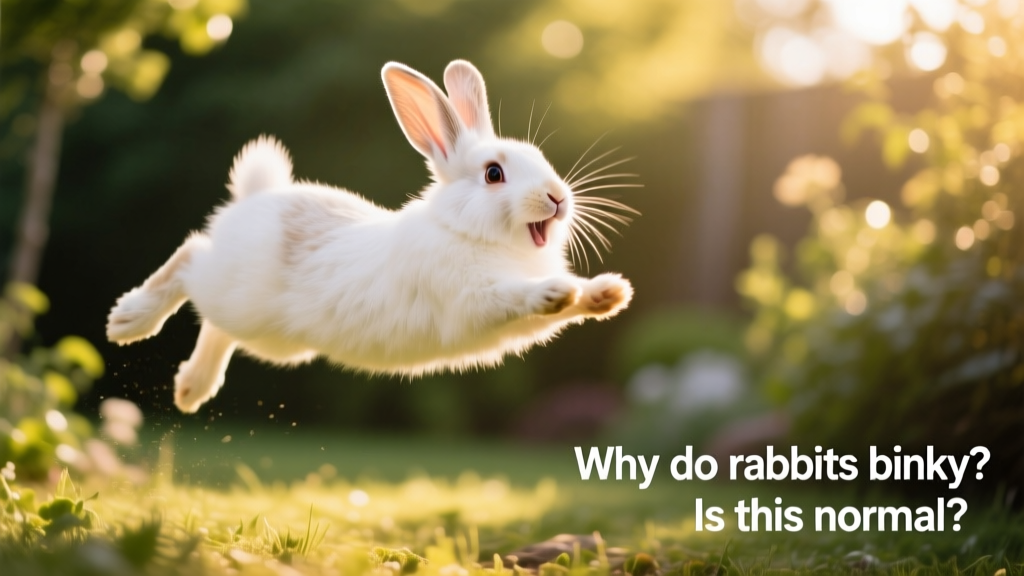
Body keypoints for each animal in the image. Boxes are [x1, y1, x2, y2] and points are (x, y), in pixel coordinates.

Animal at [106, 59, 634, 413]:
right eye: (493, 174)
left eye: (539, 157)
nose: (557, 197)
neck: (464, 231)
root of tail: (254, 200)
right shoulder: (472, 299)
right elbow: (514, 295)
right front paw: (555, 290)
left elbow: (562, 310)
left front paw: (607, 294)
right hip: (235, 293)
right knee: (191, 258)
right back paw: (129, 320)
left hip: (272, 339)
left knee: (216, 323)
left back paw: (190, 389)